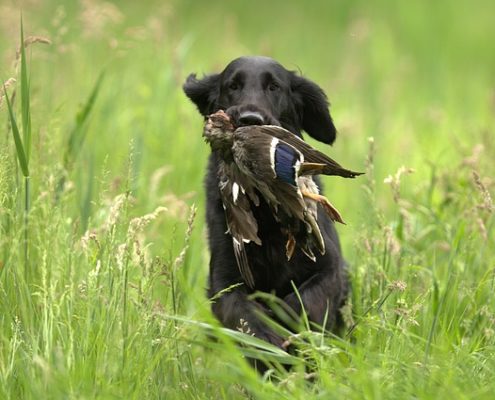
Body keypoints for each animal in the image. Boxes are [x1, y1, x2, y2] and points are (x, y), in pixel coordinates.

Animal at [182, 55, 348, 346]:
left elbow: (302, 303)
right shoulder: (224, 281)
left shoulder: (330, 269)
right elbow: (244, 314)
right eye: (233, 86)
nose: (250, 119)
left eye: (274, 87)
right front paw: (267, 340)